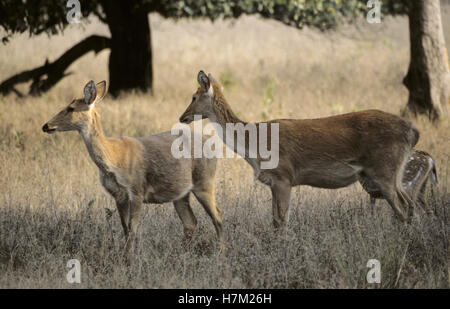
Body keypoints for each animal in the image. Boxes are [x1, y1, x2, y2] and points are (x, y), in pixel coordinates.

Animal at [43, 80, 222, 256]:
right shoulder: (118, 195)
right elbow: (125, 228)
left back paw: (220, 251)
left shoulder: (137, 190)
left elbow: (132, 228)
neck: (114, 158)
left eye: (71, 108)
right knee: (191, 222)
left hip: (204, 182)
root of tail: (213, 143)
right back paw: (183, 253)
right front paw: (125, 256)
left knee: (217, 217)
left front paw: (129, 258)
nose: (46, 126)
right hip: (180, 193)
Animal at [178, 69, 418, 229]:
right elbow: (275, 221)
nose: (182, 117)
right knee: (410, 204)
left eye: (194, 96)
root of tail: (412, 132)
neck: (254, 145)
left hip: (384, 169)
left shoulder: (283, 177)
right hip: (391, 173)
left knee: (402, 207)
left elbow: (281, 221)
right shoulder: (274, 182)